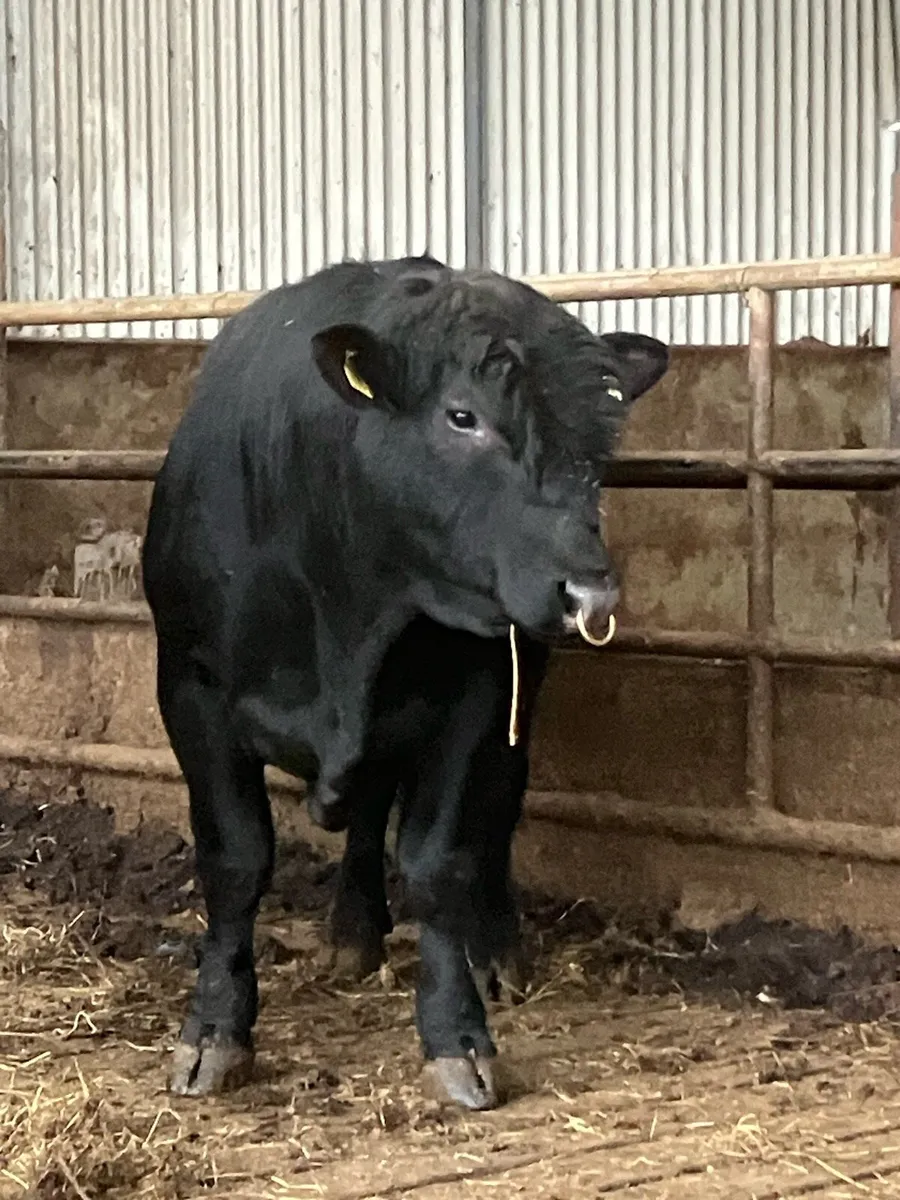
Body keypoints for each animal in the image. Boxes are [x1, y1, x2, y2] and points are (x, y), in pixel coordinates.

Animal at [141, 254, 669, 1110]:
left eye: (601, 439)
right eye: (462, 417)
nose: (590, 591)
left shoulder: (474, 702)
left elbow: (438, 861)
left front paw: (458, 1036)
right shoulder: (192, 694)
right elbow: (236, 859)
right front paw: (214, 1031)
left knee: (491, 809)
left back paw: (494, 952)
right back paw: (353, 935)